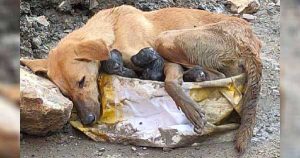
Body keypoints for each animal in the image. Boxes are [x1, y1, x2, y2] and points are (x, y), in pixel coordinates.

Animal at [21, 5, 262, 153]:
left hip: (167, 39)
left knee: (216, 75)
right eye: (66, 93)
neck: (113, 28)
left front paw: (190, 108)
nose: (88, 120)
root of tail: (250, 40)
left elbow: (170, 83)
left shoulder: (163, 61)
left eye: (82, 81)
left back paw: (195, 80)